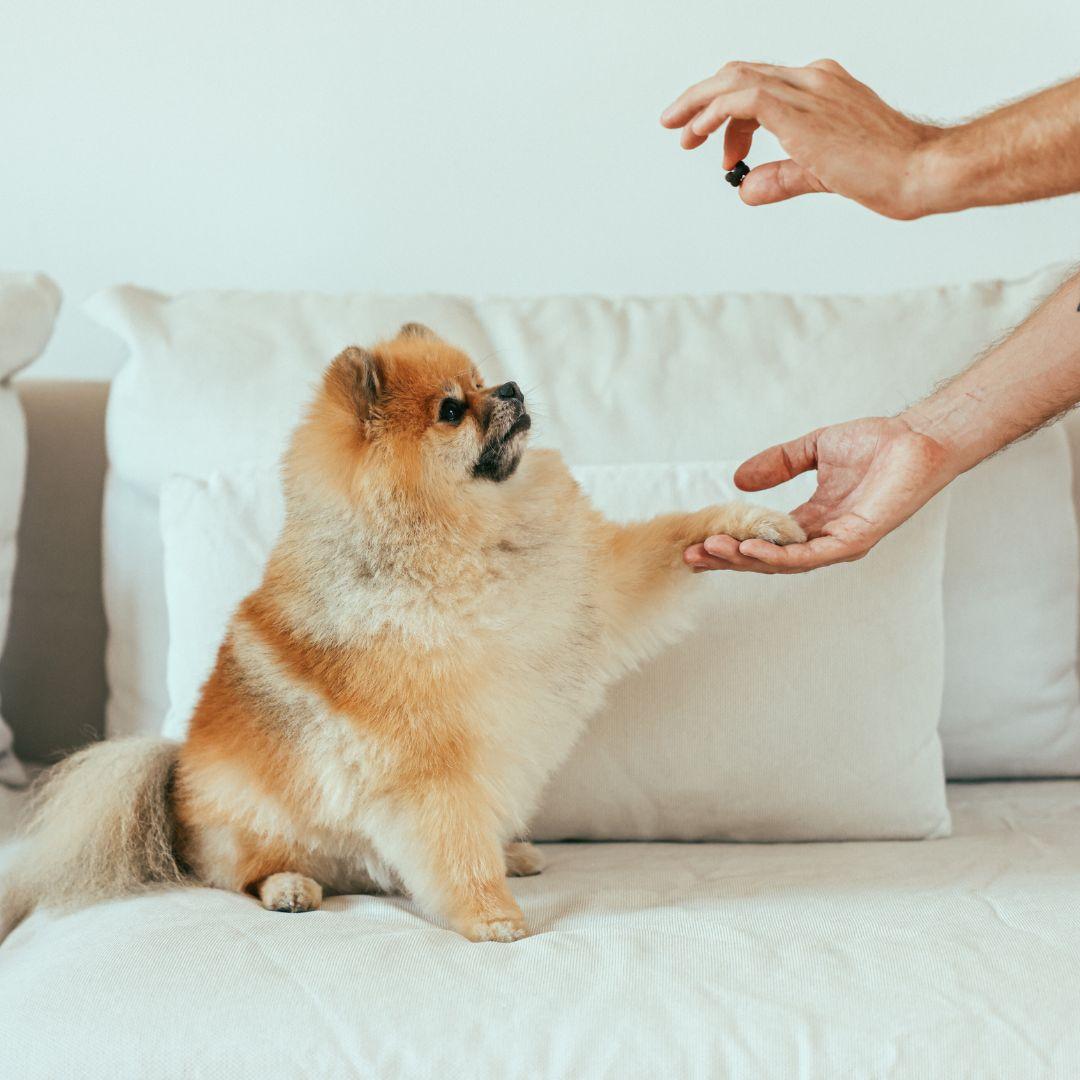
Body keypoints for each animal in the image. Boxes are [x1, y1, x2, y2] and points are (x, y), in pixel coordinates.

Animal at [2, 324, 803, 941]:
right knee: (239, 873)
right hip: (251, 823)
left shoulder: (598, 589)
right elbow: (452, 845)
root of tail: (172, 778)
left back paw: (510, 850)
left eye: (480, 380)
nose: (512, 387)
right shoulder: (427, 762)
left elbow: (671, 537)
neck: (473, 538)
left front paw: (750, 523)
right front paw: (490, 917)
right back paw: (290, 887)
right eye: (452, 409)